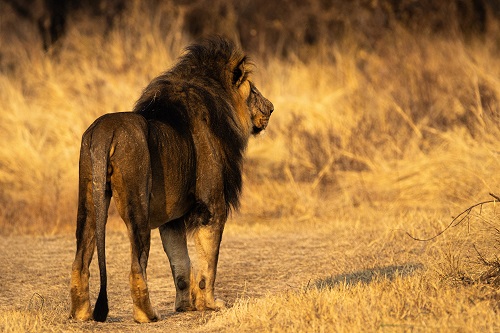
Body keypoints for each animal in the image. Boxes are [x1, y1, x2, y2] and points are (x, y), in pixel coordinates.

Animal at [69, 36, 274, 322]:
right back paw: (147, 314)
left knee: (79, 261)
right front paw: (210, 304)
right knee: (136, 266)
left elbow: (182, 264)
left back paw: (81, 314)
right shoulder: (212, 207)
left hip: (88, 198)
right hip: (137, 205)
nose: (271, 108)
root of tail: (104, 132)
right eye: (253, 91)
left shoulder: (172, 219)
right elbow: (207, 262)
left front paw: (185, 306)